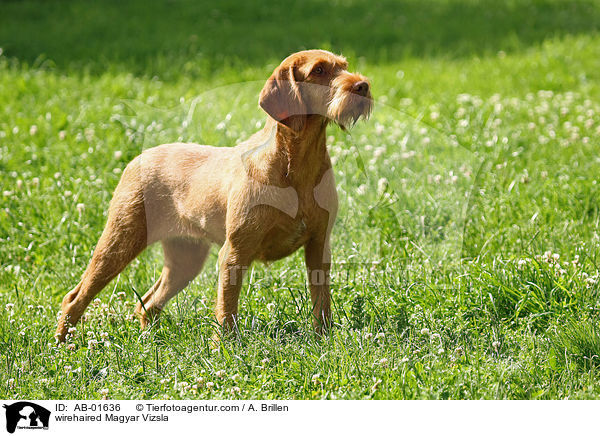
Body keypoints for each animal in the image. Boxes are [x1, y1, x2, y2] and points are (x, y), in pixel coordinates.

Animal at [57, 48, 376, 340]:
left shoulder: (319, 246)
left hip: (185, 259)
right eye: (319, 70)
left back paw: (149, 340)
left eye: (344, 66)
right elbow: (227, 310)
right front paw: (225, 349)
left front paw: (324, 339)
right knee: (76, 296)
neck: (296, 168)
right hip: (119, 242)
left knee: (148, 302)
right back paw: (62, 344)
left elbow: (321, 303)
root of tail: (139, 157)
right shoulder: (234, 253)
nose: (362, 85)